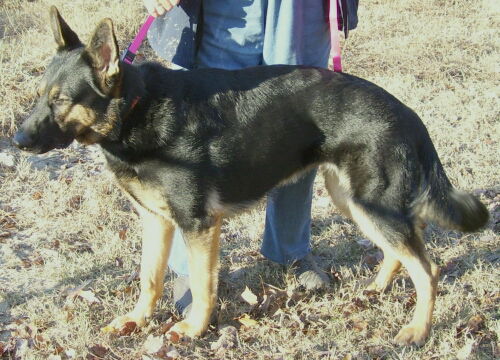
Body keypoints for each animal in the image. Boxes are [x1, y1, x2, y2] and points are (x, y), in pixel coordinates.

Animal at [14, 7, 488, 346]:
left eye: (60, 100)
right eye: (39, 96)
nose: (17, 140)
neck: (134, 108)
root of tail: (409, 114)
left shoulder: (199, 225)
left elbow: (203, 286)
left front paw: (192, 330)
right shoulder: (157, 221)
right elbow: (150, 278)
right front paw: (135, 320)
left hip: (370, 205)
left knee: (428, 269)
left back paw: (417, 331)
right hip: (353, 200)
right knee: (405, 247)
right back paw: (377, 288)